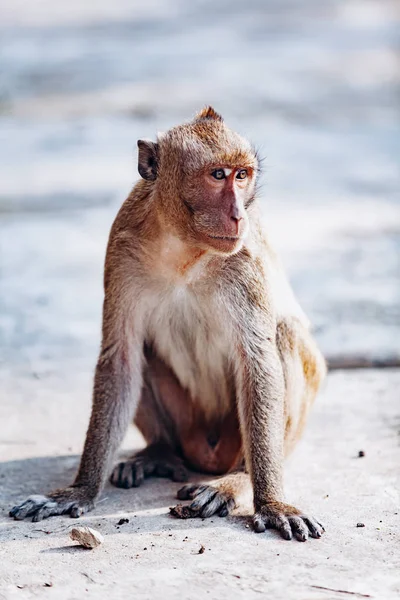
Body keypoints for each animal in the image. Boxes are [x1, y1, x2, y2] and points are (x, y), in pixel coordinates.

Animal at [9, 108, 326, 544]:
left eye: (242, 176)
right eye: (218, 175)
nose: (238, 215)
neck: (184, 251)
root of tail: (205, 454)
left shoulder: (244, 258)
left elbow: (258, 361)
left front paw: (271, 503)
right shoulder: (121, 251)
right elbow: (121, 357)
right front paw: (80, 490)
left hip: (236, 439)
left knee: (284, 335)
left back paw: (235, 482)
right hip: (187, 427)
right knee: (142, 353)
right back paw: (157, 452)